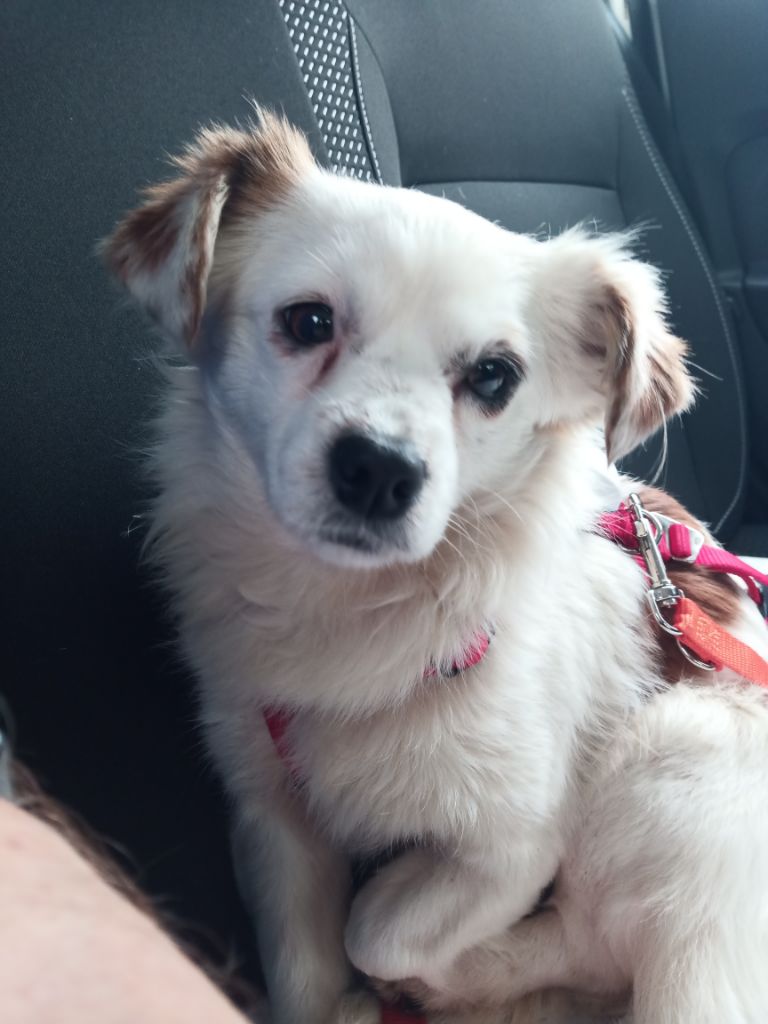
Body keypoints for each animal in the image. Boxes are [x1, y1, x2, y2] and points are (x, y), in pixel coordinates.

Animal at [104, 111, 768, 1024]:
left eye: (494, 375)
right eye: (308, 322)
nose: (379, 468)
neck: (354, 611)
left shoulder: (518, 842)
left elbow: (380, 928)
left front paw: (400, 906)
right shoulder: (271, 814)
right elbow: (305, 975)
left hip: (675, 752)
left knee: (595, 944)